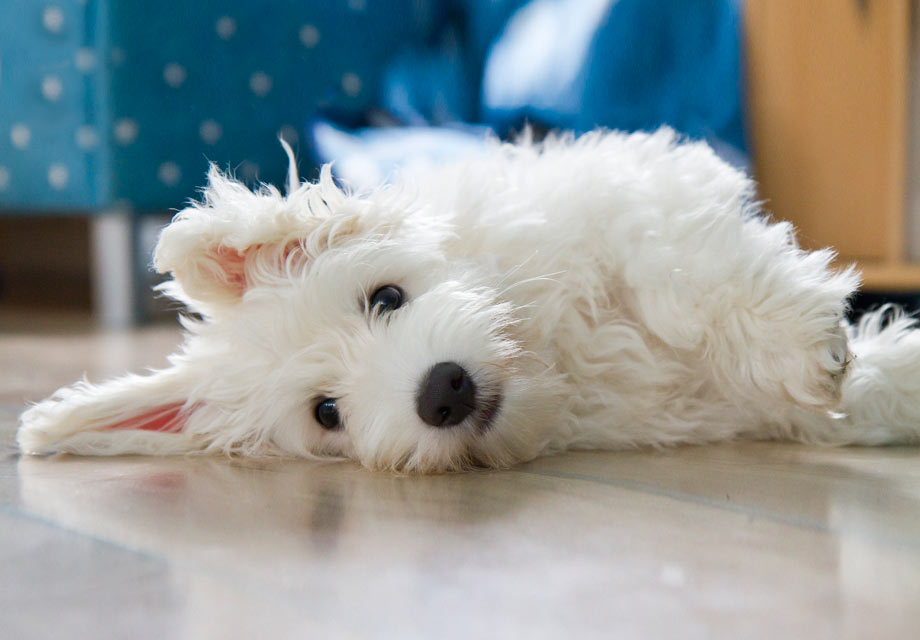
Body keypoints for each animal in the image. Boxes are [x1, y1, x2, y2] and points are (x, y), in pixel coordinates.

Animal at [14, 129, 920, 470]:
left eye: (386, 296)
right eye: (327, 413)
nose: (442, 391)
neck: (555, 358)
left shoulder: (636, 191)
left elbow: (678, 272)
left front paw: (804, 347)